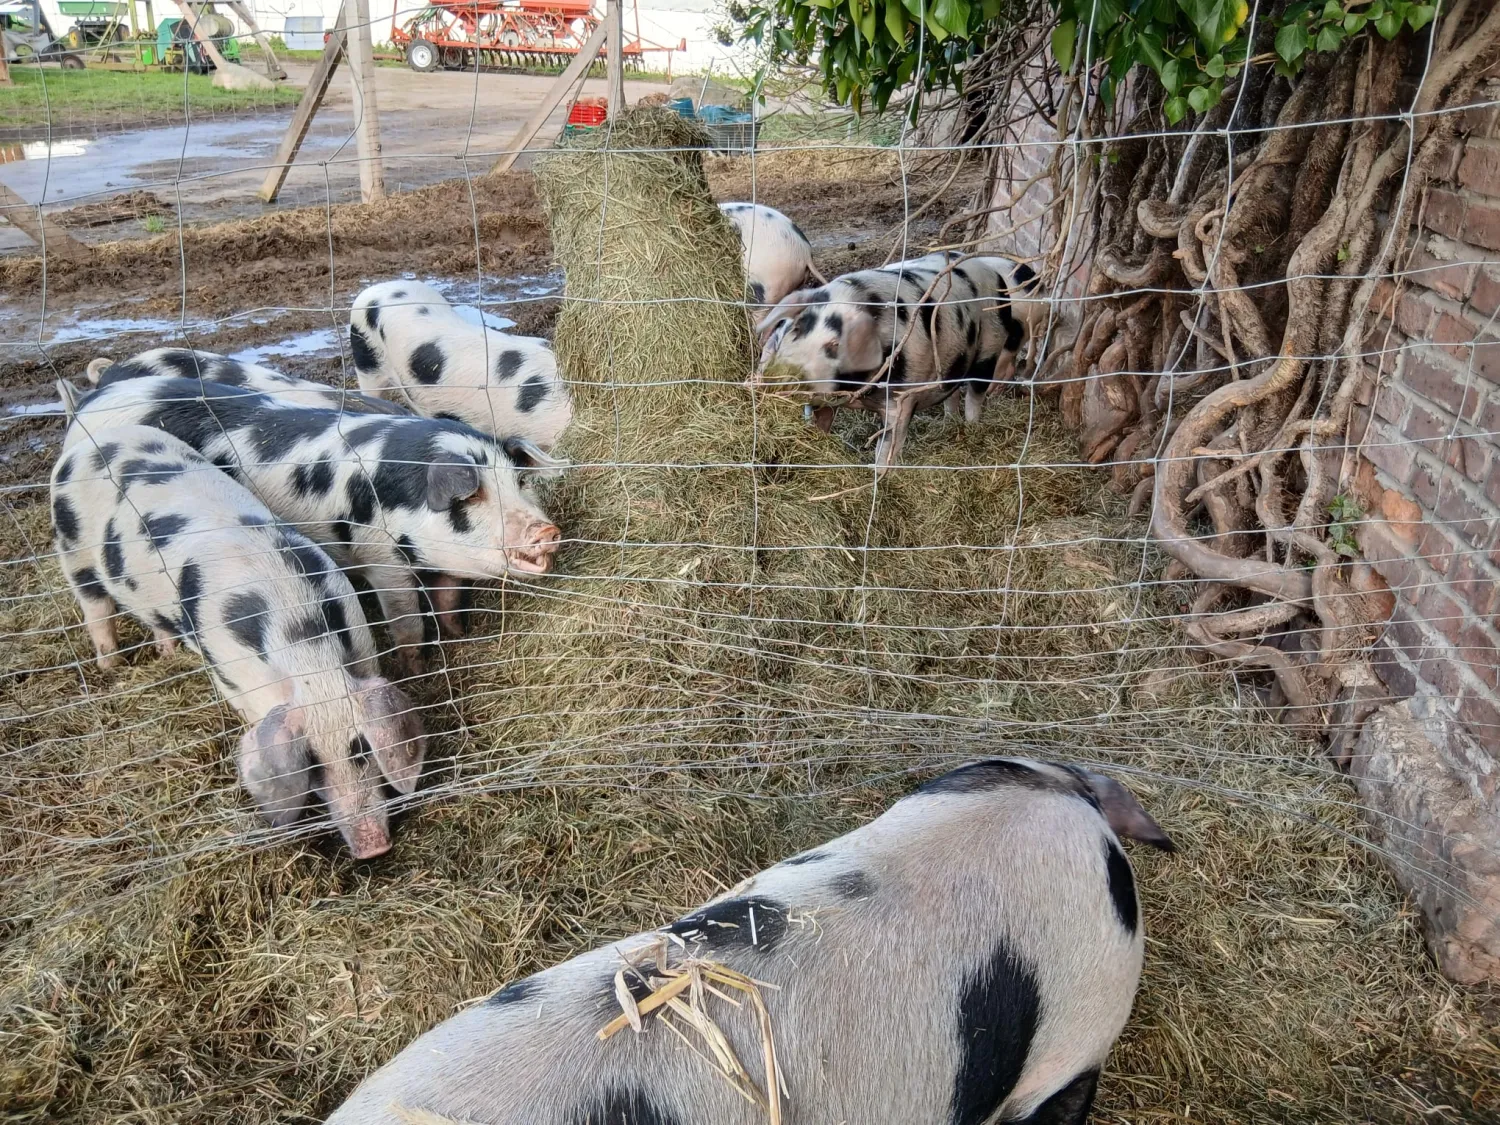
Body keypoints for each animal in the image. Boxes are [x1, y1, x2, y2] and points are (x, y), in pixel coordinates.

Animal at [50, 424, 426, 858]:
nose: (373, 847)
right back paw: (109, 665)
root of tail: (99, 439)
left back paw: (166, 652)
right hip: (73, 552)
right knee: (96, 610)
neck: (305, 649)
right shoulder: (228, 674)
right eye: (311, 765)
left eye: (361, 749)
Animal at [62, 375, 563, 672]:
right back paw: (110, 668)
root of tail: (92, 399)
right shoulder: (381, 559)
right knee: (96, 605)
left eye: (519, 480)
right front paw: (416, 668)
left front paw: (459, 637)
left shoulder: (441, 563)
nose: (547, 530)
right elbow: (407, 622)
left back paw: (162, 652)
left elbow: (448, 599)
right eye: (472, 493)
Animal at [754, 253, 1040, 469]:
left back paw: (972, 427)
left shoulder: (902, 400)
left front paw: (878, 479)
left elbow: (887, 447)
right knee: (951, 393)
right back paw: (950, 423)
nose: (772, 378)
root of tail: (994, 273)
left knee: (975, 394)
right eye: (793, 328)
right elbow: (819, 424)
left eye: (834, 345)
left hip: (990, 348)